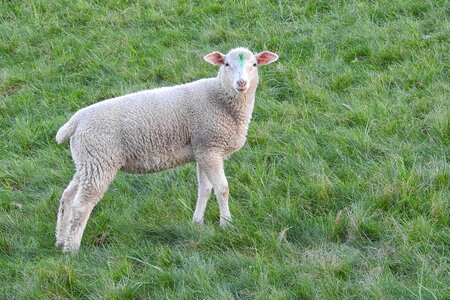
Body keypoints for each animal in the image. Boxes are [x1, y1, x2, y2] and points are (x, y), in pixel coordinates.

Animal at [55, 47, 278, 253]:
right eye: (226, 64)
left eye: (254, 65)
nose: (241, 83)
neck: (220, 97)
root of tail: (76, 121)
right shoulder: (210, 147)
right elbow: (222, 189)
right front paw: (227, 224)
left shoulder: (203, 149)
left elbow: (205, 190)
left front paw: (197, 222)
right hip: (99, 161)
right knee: (81, 206)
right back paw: (71, 249)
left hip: (88, 162)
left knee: (68, 196)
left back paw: (60, 239)